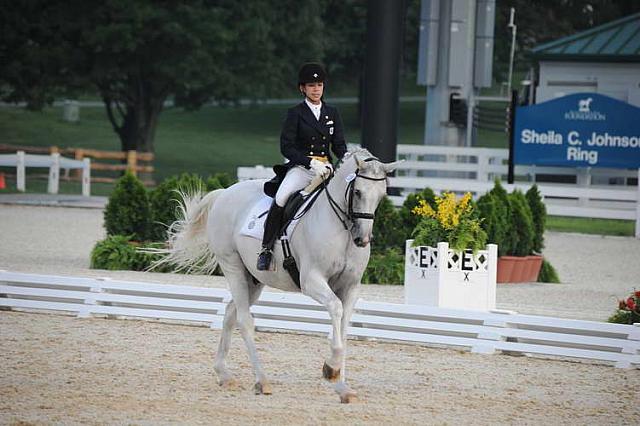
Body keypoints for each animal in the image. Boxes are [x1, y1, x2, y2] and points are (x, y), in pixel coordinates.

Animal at [156, 149, 398, 402]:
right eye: (358, 191)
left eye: (382, 195)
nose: (362, 239)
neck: (342, 228)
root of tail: (225, 192)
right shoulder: (311, 281)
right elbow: (335, 309)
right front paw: (331, 369)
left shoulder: (351, 287)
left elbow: (342, 328)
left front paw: (342, 387)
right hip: (232, 265)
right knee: (244, 320)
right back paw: (262, 381)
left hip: (253, 279)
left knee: (231, 312)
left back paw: (224, 374)